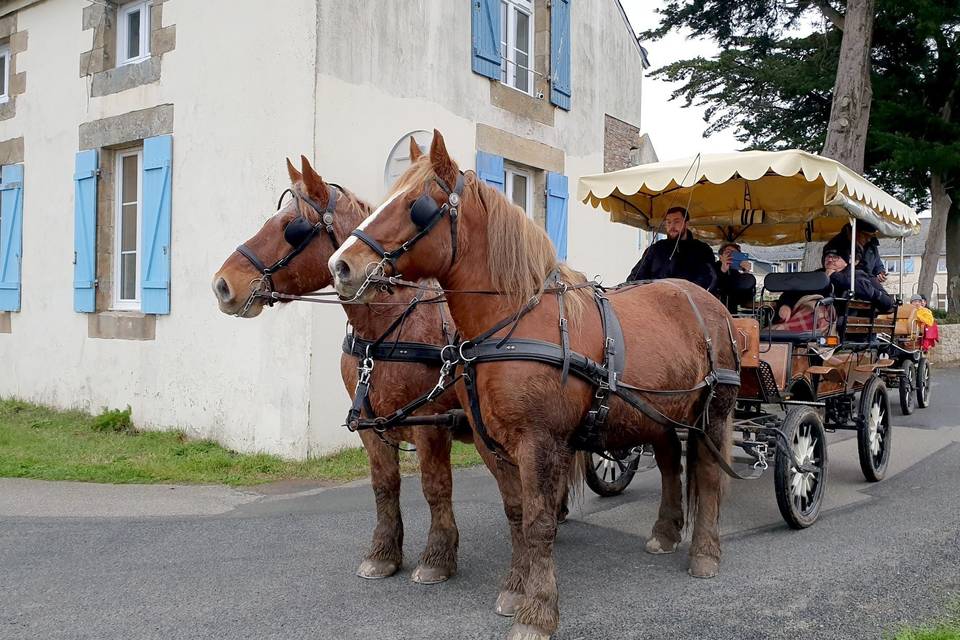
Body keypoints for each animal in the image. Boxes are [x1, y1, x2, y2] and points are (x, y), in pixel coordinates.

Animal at [212, 154, 480, 584]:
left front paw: (438, 556)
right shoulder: (371, 425)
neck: (384, 331)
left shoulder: (431, 422)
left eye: (292, 228)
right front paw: (383, 553)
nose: (222, 285)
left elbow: (434, 485)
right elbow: (384, 486)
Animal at [332, 131, 744, 640]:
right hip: (656, 415)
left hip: (714, 414)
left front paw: (538, 611)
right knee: (670, 464)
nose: (341, 265)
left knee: (706, 475)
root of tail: (709, 302)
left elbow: (541, 521)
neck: (515, 320)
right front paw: (515, 589)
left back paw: (704, 552)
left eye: (416, 206)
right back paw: (666, 532)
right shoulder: (493, 442)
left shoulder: (540, 442)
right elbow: (518, 514)